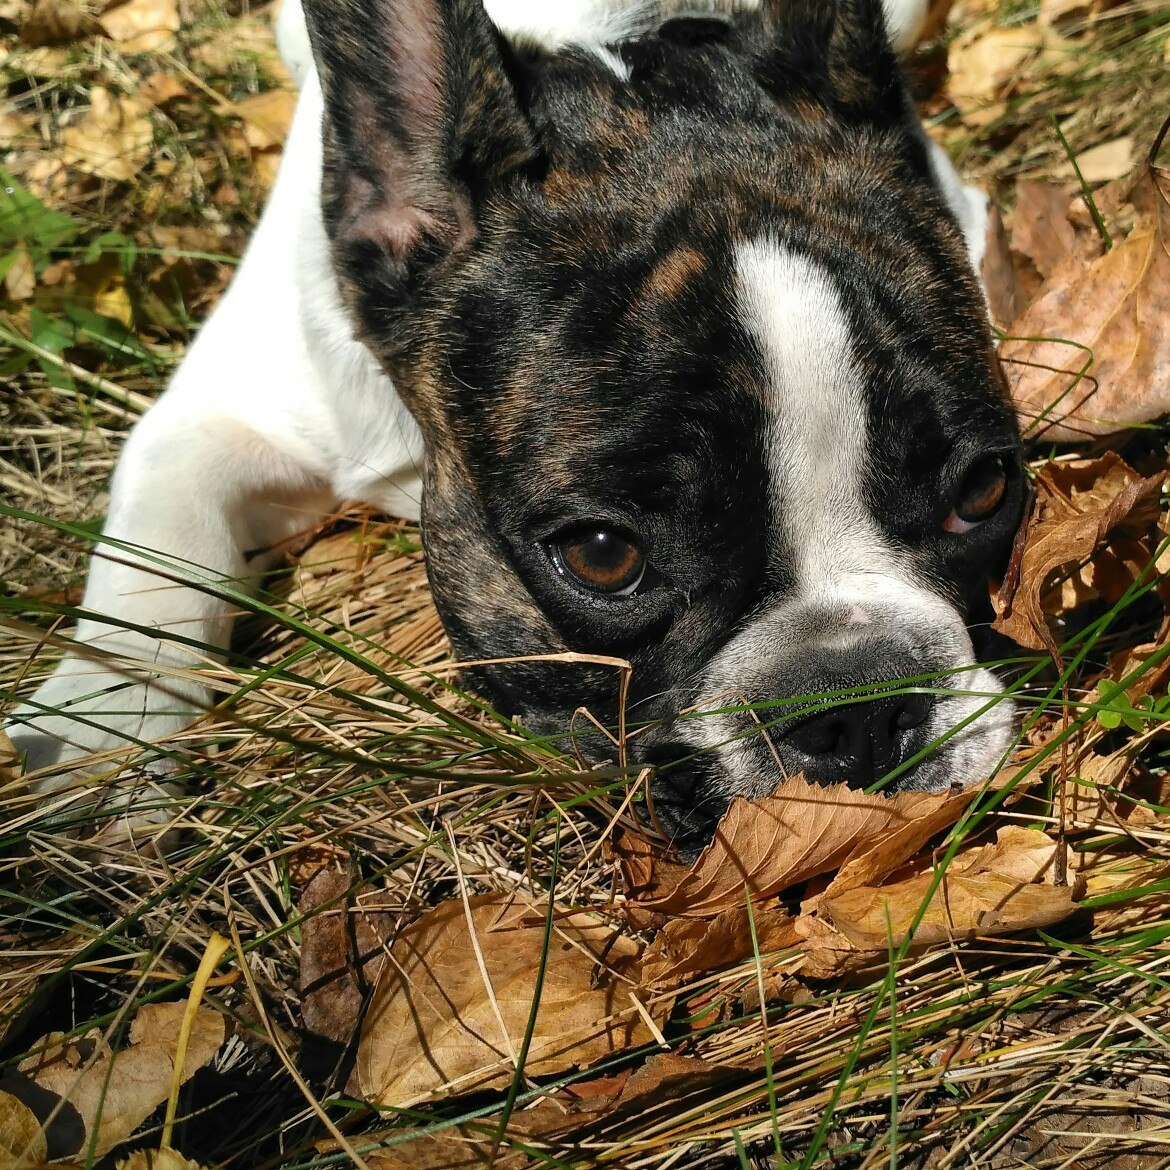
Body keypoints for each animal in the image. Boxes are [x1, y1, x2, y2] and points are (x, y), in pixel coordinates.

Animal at [6, 0, 1024, 861]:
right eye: (603, 555)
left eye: (985, 489)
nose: (859, 700)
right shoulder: (222, 411)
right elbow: (157, 556)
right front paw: (101, 735)